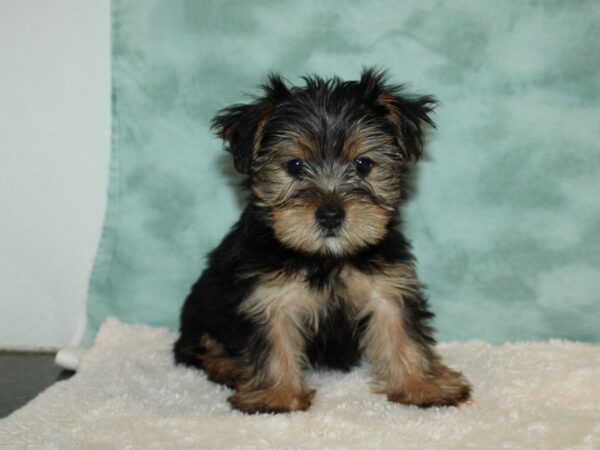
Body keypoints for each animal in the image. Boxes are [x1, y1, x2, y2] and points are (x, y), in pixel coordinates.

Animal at [176, 68, 472, 414]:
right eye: (294, 166)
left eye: (363, 164)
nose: (330, 215)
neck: (326, 257)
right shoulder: (267, 295)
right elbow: (273, 341)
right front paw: (277, 396)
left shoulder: (387, 284)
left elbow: (401, 330)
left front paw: (422, 386)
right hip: (200, 313)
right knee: (196, 348)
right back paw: (229, 367)